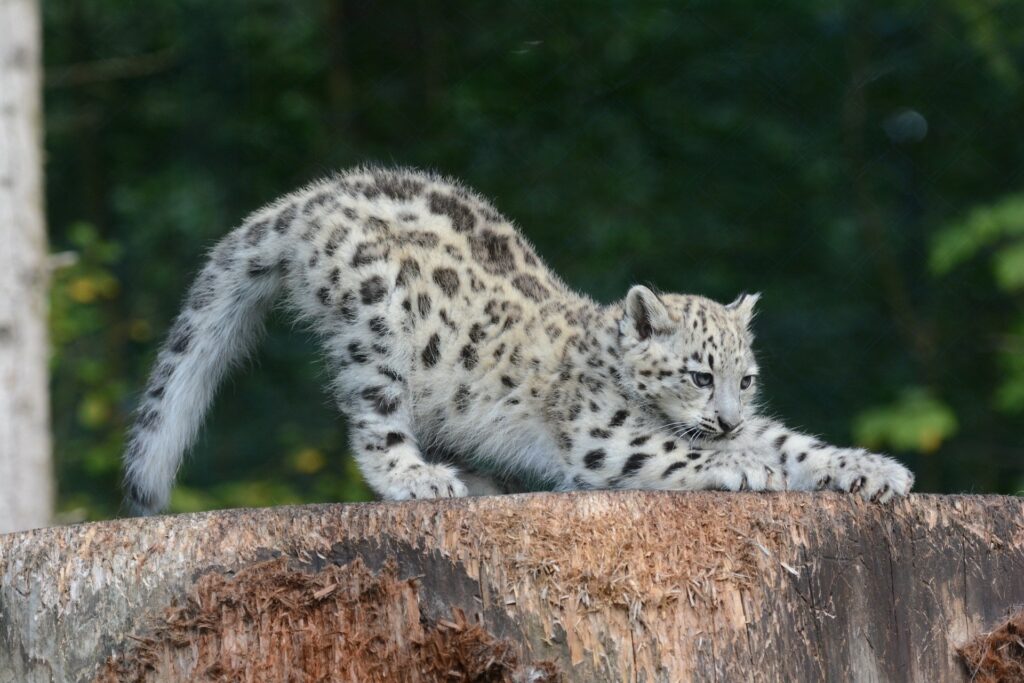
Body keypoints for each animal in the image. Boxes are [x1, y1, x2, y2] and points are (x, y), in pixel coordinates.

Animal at [122, 166, 914, 513]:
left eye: (744, 379)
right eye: (697, 374)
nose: (725, 417)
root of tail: (311, 195)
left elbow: (793, 441)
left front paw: (871, 468)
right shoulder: (603, 437)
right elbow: (672, 450)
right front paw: (744, 464)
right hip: (375, 328)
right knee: (374, 425)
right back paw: (420, 478)